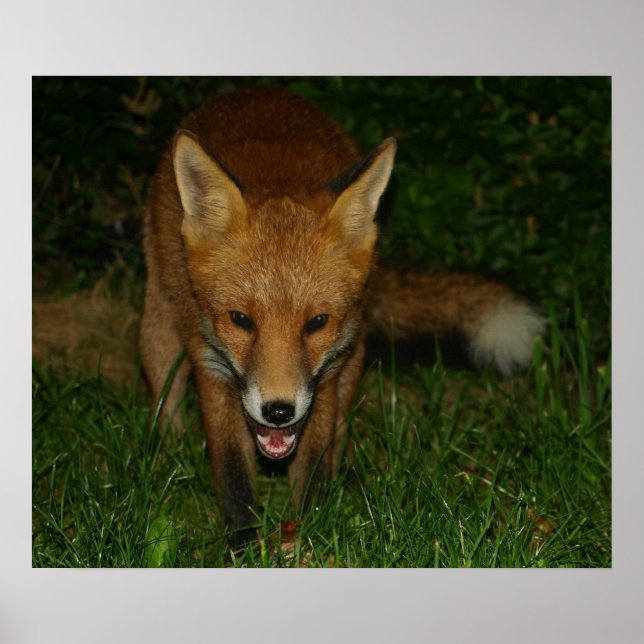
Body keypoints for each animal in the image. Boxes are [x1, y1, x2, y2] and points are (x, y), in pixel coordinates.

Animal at [140, 86, 545, 543]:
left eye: (317, 323)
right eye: (240, 319)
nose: (278, 411)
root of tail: (261, 90)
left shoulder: (326, 377)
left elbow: (314, 464)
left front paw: (311, 533)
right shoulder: (212, 368)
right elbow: (232, 472)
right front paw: (243, 544)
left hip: (353, 355)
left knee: (340, 427)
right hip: (158, 330)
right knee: (166, 401)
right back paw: (168, 457)